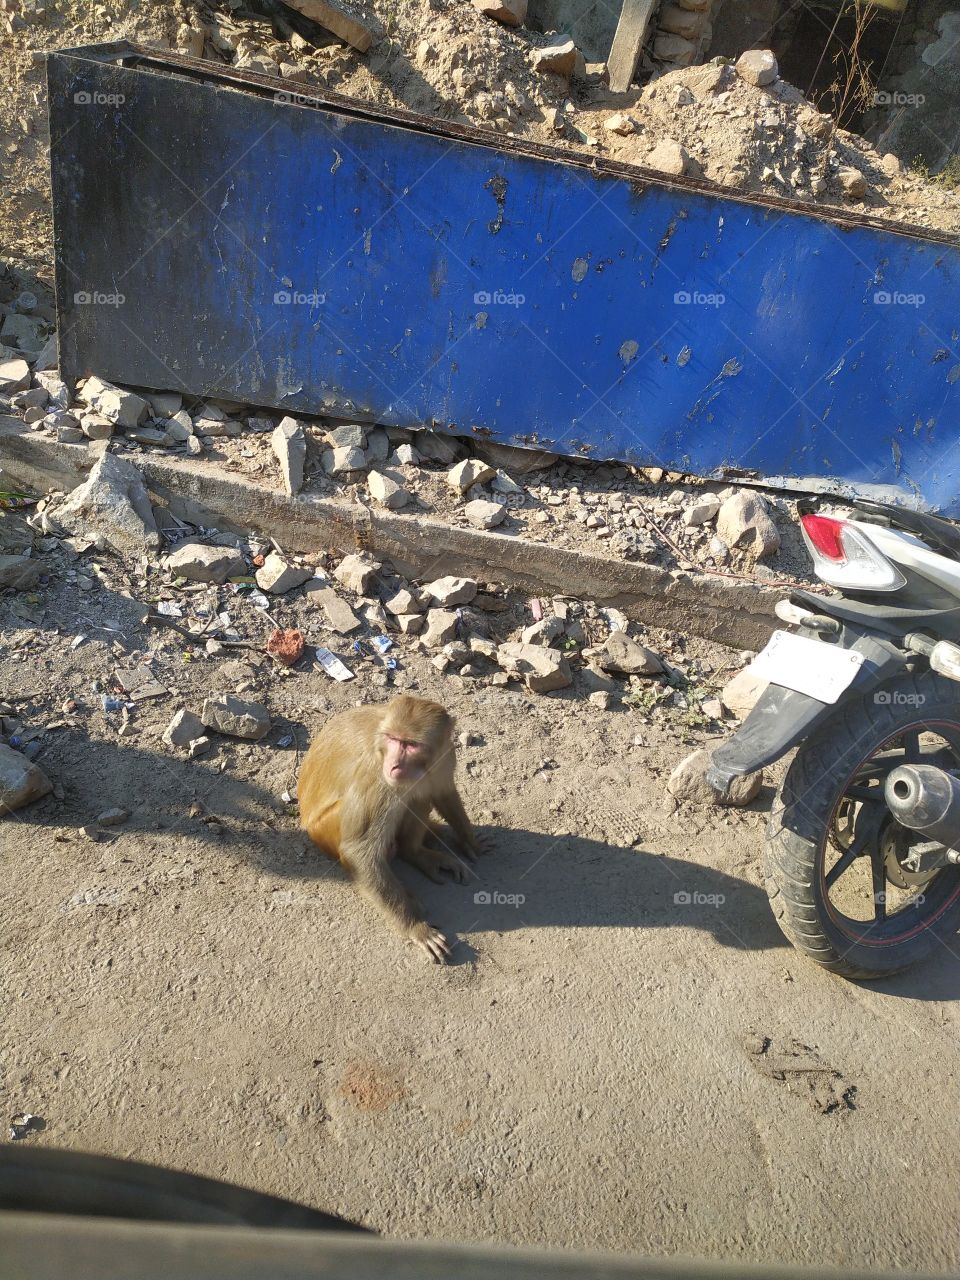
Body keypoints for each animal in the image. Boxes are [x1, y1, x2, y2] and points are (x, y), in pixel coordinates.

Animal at [299, 701, 478, 962]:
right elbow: (358, 852)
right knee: (403, 796)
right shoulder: (377, 776)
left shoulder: (445, 755)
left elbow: (443, 791)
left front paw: (469, 841)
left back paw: (415, 853)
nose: (395, 765)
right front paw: (416, 928)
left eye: (411, 744)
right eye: (393, 739)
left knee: (420, 793)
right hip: (327, 829)